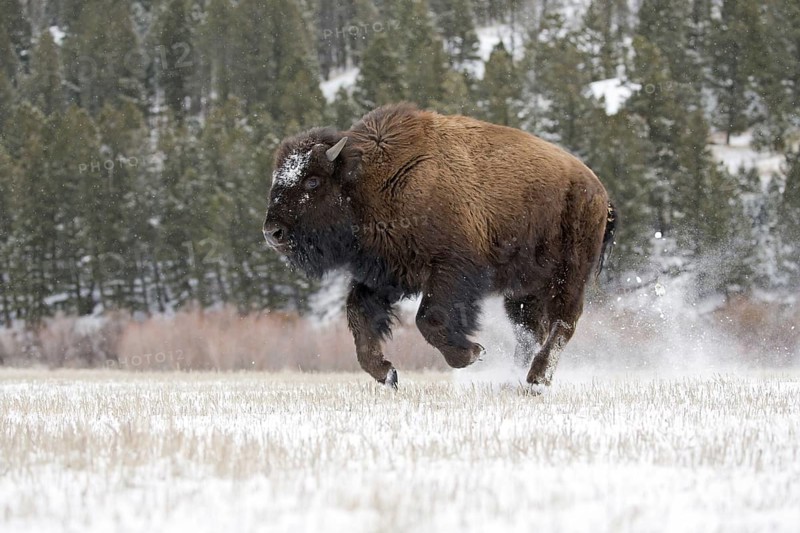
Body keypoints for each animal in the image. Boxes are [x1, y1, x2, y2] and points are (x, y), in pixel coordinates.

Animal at [263, 103, 616, 388]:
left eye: (312, 181)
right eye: (276, 179)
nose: (272, 232)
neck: (369, 179)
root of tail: (597, 189)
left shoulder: (450, 270)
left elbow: (428, 319)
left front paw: (473, 353)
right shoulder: (383, 274)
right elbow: (359, 317)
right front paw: (387, 374)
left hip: (569, 275)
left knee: (563, 323)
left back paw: (536, 380)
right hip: (523, 290)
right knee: (529, 332)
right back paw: (514, 380)